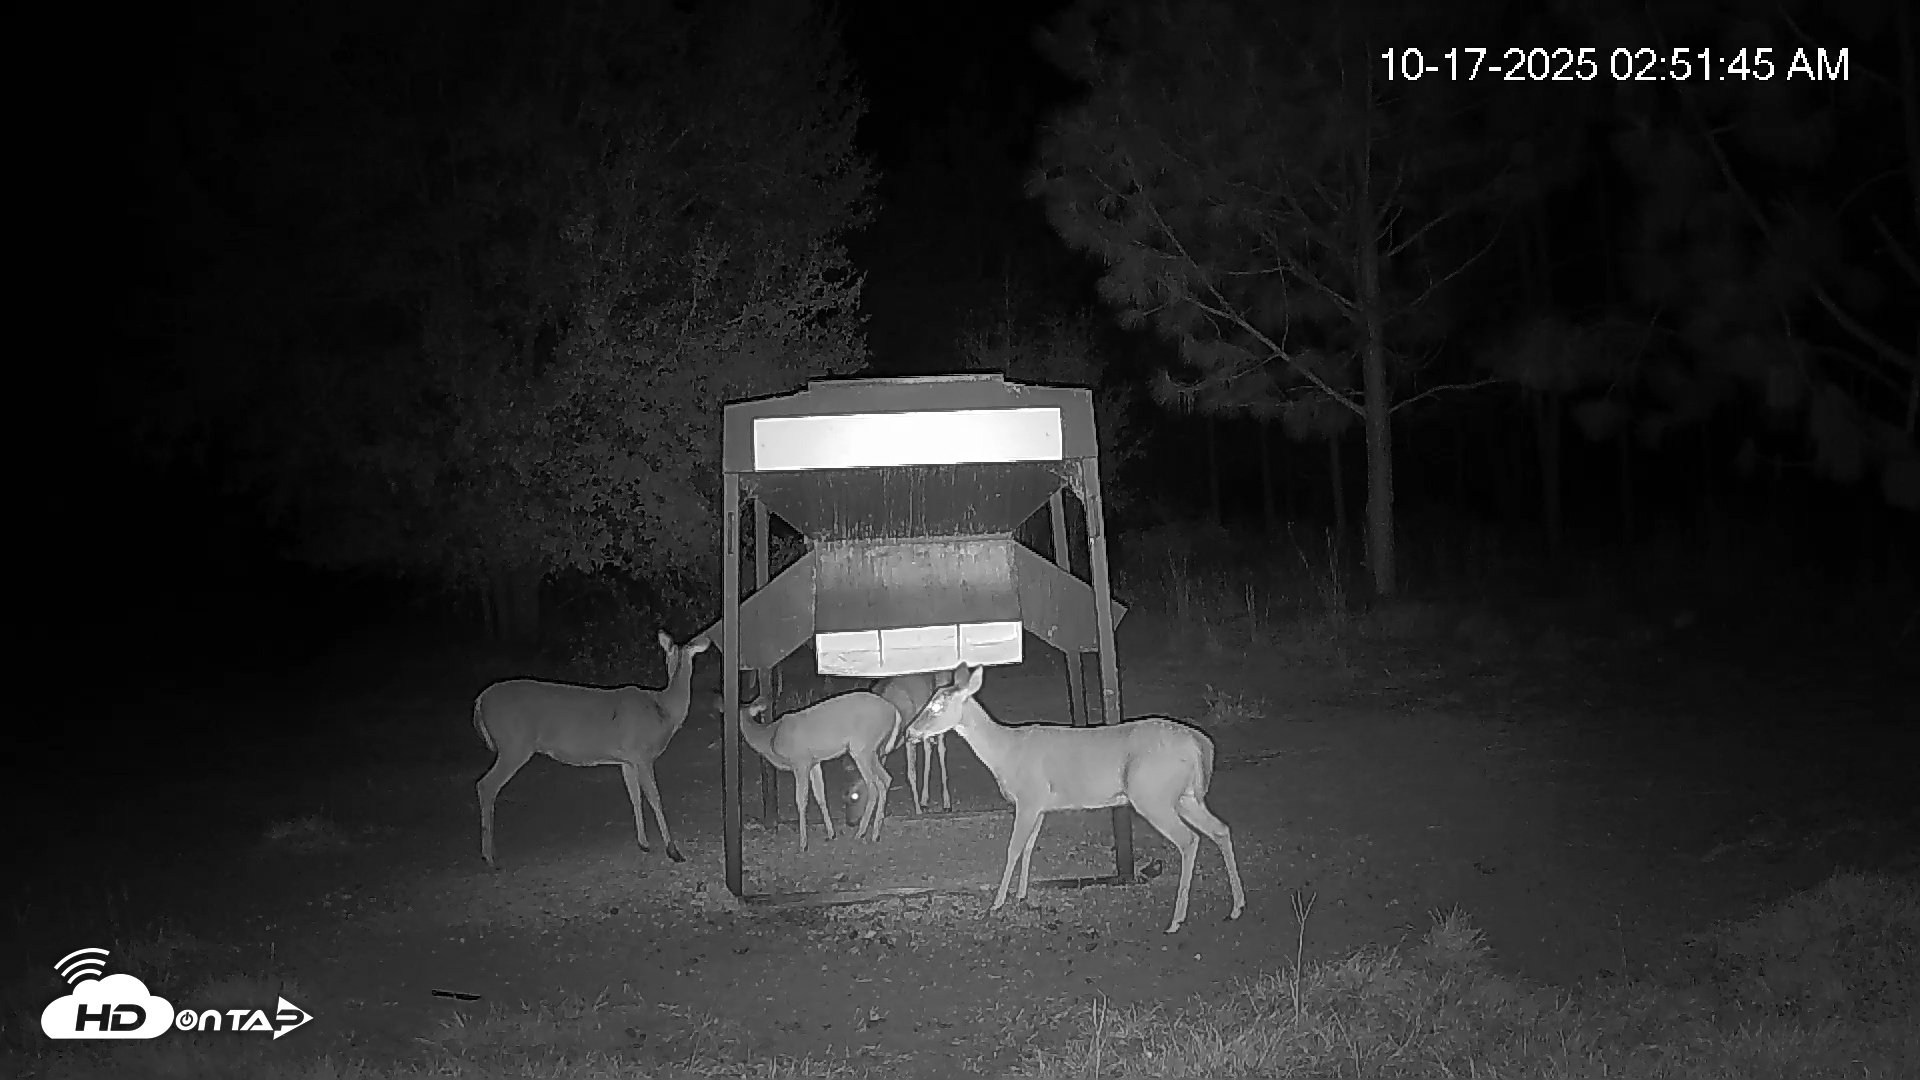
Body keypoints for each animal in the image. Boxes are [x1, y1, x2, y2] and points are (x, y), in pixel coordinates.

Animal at [472, 631, 711, 869]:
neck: (663, 709)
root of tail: (480, 700)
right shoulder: (643, 754)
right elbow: (655, 799)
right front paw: (674, 851)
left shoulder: (627, 760)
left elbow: (635, 797)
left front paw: (643, 843)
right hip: (514, 744)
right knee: (486, 785)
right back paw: (489, 857)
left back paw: (492, 852)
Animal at [737, 691, 900, 851]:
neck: (771, 738)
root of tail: (894, 711)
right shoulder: (814, 762)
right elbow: (820, 795)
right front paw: (831, 834)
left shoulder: (800, 761)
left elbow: (801, 800)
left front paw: (803, 844)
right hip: (871, 751)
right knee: (886, 778)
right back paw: (874, 833)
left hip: (862, 748)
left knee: (874, 785)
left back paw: (862, 833)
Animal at [872, 670, 955, 813]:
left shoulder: (908, 736)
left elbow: (911, 773)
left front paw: (918, 811)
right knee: (929, 748)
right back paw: (925, 800)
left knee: (940, 749)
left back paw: (945, 803)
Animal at [907, 664, 1247, 934]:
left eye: (936, 707)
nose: (910, 732)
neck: (1005, 753)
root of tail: (1201, 744)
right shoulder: (1040, 804)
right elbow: (1029, 847)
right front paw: (1020, 895)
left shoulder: (1028, 797)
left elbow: (1013, 848)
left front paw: (997, 903)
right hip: (1185, 796)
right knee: (1220, 829)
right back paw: (1237, 906)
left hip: (1152, 794)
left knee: (1189, 839)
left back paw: (1176, 920)